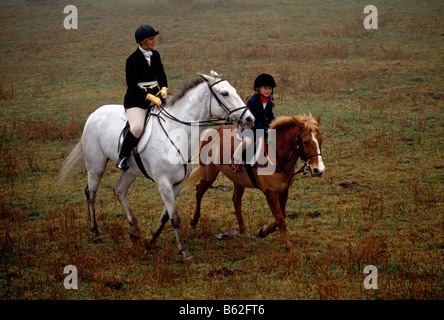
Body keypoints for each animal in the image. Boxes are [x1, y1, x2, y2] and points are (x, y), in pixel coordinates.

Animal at [58, 71, 253, 262]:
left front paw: (149, 240)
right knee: (90, 194)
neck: (177, 133)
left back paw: (135, 230)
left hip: (130, 171)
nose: (250, 118)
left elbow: (166, 215)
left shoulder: (176, 183)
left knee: (119, 191)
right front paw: (184, 252)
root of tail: (94, 114)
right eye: (225, 93)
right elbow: (174, 217)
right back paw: (96, 233)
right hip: (96, 166)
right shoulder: (163, 182)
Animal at [182, 114, 324, 251]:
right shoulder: (270, 193)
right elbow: (280, 219)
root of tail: (214, 130)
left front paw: (264, 231)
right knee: (199, 191)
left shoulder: (284, 191)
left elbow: (282, 215)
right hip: (209, 173)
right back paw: (194, 220)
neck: (277, 157)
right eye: (305, 142)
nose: (319, 170)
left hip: (238, 180)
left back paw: (244, 231)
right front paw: (289, 246)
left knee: (236, 201)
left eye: (321, 140)